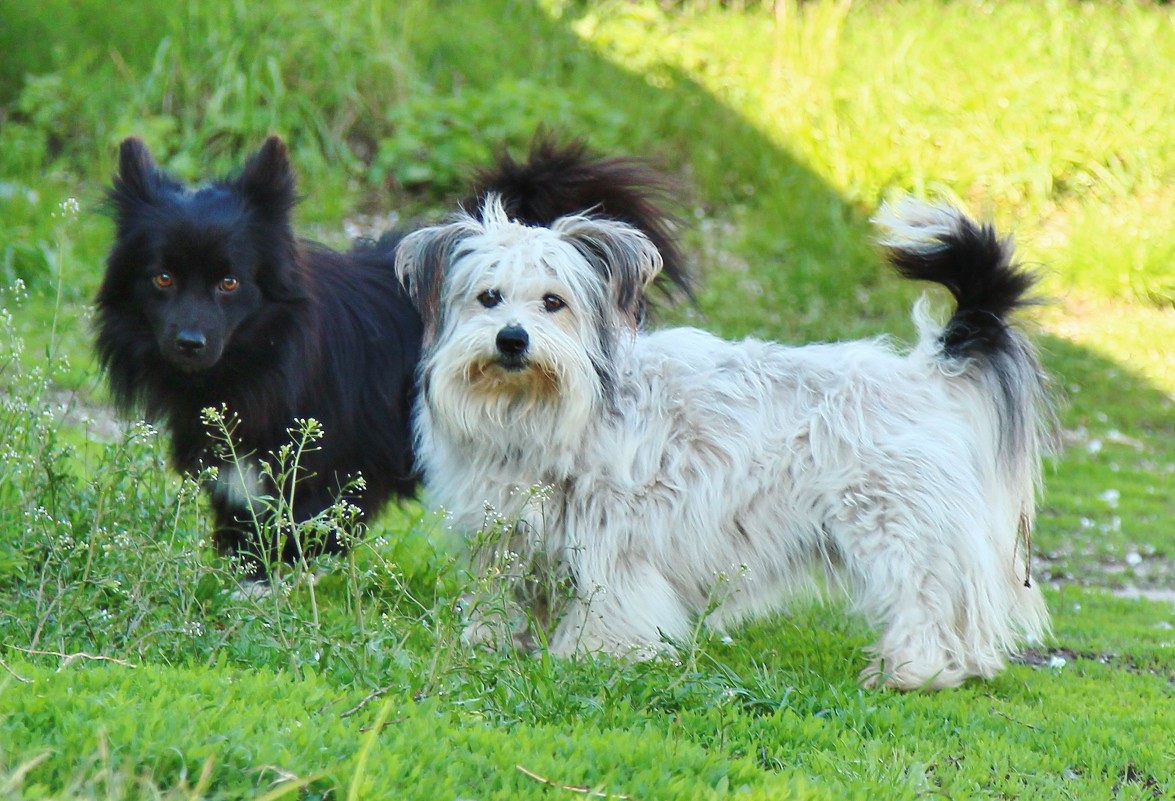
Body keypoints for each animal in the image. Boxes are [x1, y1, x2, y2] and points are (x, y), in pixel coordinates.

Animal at [98, 135, 686, 573]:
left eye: (229, 283)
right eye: (163, 278)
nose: (188, 342)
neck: (267, 355)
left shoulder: (320, 477)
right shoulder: (238, 478)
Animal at [399, 194, 1062, 685]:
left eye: (553, 302)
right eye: (488, 297)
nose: (512, 339)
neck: (540, 411)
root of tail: (928, 375)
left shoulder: (618, 534)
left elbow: (611, 600)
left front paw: (594, 654)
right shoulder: (507, 537)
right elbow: (503, 594)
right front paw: (489, 640)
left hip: (896, 530)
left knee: (928, 599)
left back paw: (914, 670)